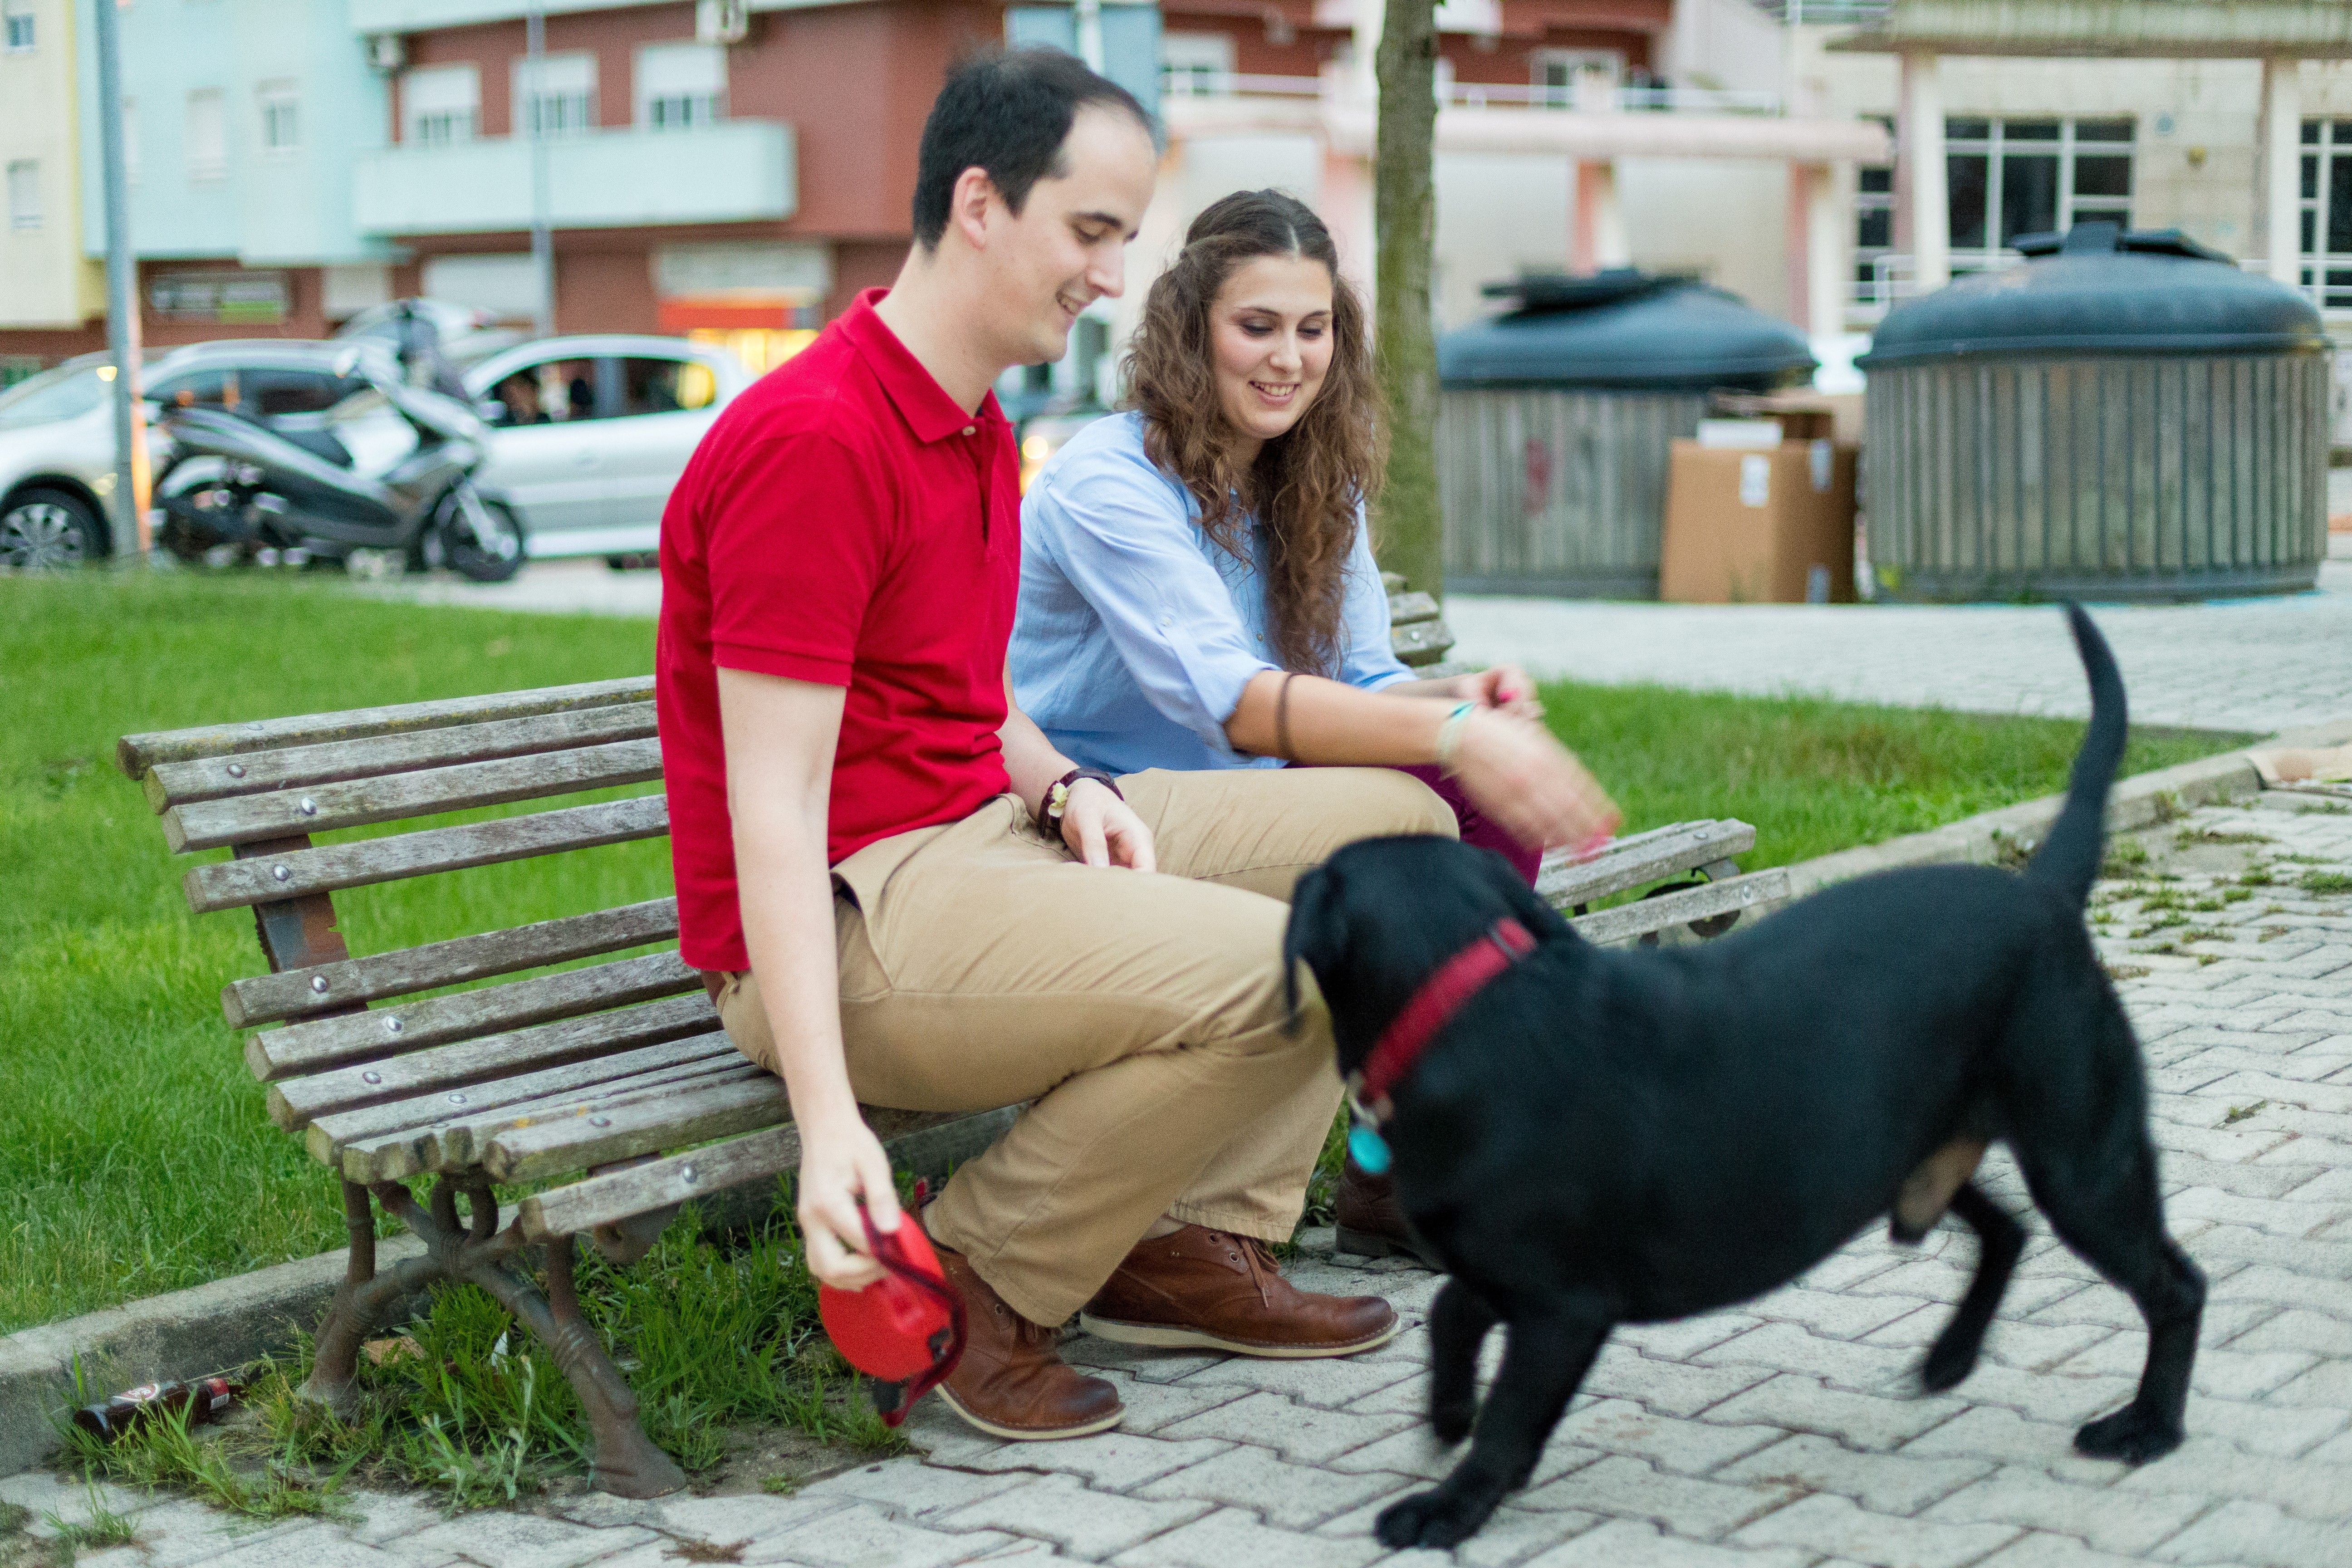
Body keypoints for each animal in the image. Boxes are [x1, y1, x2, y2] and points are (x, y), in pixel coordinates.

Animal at [1279, 606, 2192, 1551]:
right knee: (2006, 1229)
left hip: (2081, 1158)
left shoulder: (1562, 1307)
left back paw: (2148, 1426)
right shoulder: (1503, 1274)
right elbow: (1453, 1316)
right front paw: (1447, 1413)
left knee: (2173, 1285)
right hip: (1899, 1152)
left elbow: (1506, 1418)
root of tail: (2041, 893)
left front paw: (1450, 1504)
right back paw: (1949, 1356)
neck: (1464, 1006)